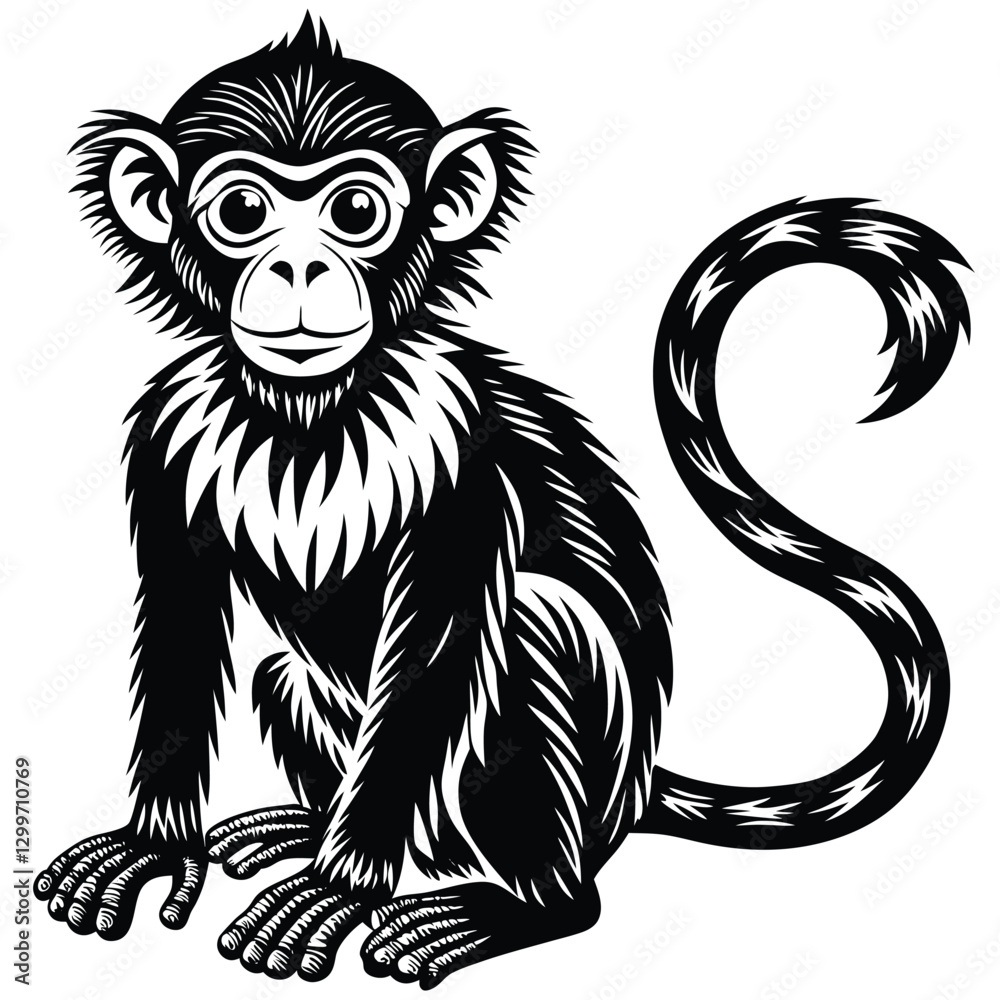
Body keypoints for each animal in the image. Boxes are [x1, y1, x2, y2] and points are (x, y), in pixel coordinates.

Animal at [34, 16, 970, 989]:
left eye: (355, 213)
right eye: (243, 213)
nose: (297, 267)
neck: (313, 411)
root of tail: (633, 791)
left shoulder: (458, 438)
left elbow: (438, 651)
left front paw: (344, 884)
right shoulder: (170, 428)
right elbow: (181, 624)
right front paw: (155, 843)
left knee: (531, 627)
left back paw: (520, 907)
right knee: (281, 673)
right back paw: (307, 826)